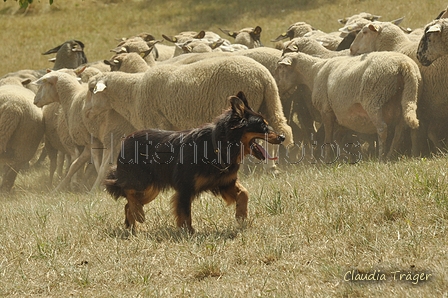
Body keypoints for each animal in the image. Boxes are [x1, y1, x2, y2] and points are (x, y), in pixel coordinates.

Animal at [106, 91, 284, 233]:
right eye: (263, 126)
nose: (282, 137)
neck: (218, 145)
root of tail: (126, 139)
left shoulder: (225, 182)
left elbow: (244, 193)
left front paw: (241, 215)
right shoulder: (185, 187)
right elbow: (185, 212)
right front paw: (188, 232)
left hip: (151, 189)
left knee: (128, 203)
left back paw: (133, 226)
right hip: (143, 182)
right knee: (127, 190)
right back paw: (139, 215)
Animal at [274, 51, 422, 161]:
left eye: (280, 68)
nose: (276, 87)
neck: (314, 72)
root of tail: (404, 65)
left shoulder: (326, 110)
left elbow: (328, 137)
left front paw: (326, 159)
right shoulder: (342, 115)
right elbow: (337, 137)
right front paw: (344, 156)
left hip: (374, 100)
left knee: (382, 128)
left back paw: (381, 157)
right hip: (405, 98)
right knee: (399, 130)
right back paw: (391, 155)